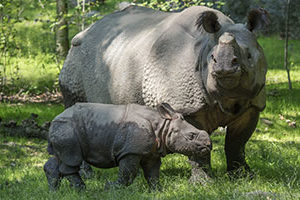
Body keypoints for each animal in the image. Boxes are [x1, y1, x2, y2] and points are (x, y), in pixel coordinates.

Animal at [44, 102, 211, 190]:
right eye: (191, 136)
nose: (208, 145)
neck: (163, 126)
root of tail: (54, 120)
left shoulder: (152, 152)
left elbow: (152, 172)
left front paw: (157, 190)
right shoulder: (131, 151)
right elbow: (128, 173)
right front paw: (111, 188)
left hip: (63, 129)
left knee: (60, 158)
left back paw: (55, 191)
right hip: (67, 129)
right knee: (72, 159)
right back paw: (82, 190)